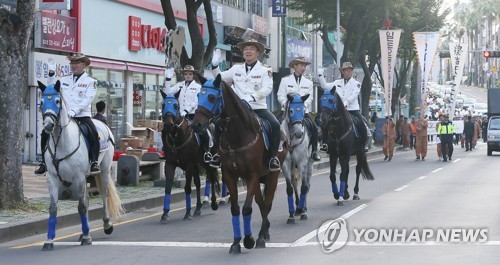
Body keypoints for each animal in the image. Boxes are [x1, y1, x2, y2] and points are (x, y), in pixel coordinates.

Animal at [37, 80, 123, 250]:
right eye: (41, 102)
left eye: (57, 101)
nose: (48, 125)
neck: (61, 143)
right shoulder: (52, 179)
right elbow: (53, 209)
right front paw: (49, 240)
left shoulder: (79, 177)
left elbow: (81, 206)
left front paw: (87, 238)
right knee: (88, 199)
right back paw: (84, 231)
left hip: (103, 171)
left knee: (104, 194)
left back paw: (106, 225)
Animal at [160, 89, 219, 222]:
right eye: (163, 105)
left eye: (176, 106)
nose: (168, 125)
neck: (177, 138)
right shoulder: (169, 164)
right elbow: (168, 187)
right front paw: (165, 213)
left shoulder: (189, 165)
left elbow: (187, 187)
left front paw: (187, 213)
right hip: (198, 164)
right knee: (198, 183)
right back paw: (198, 208)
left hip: (208, 163)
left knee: (211, 179)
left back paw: (213, 203)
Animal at [190, 75, 288, 254]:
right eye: (199, 95)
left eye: (212, 97)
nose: (196, 125)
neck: (237, 135)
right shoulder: (230, 176)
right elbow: (235, 209)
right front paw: (236, 243)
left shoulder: (252, 175)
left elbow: (247, 208)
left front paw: (248, 240)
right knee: (262, 204)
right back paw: (265, 232)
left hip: (272, 175)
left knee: (267, 203)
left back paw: (262, 236)